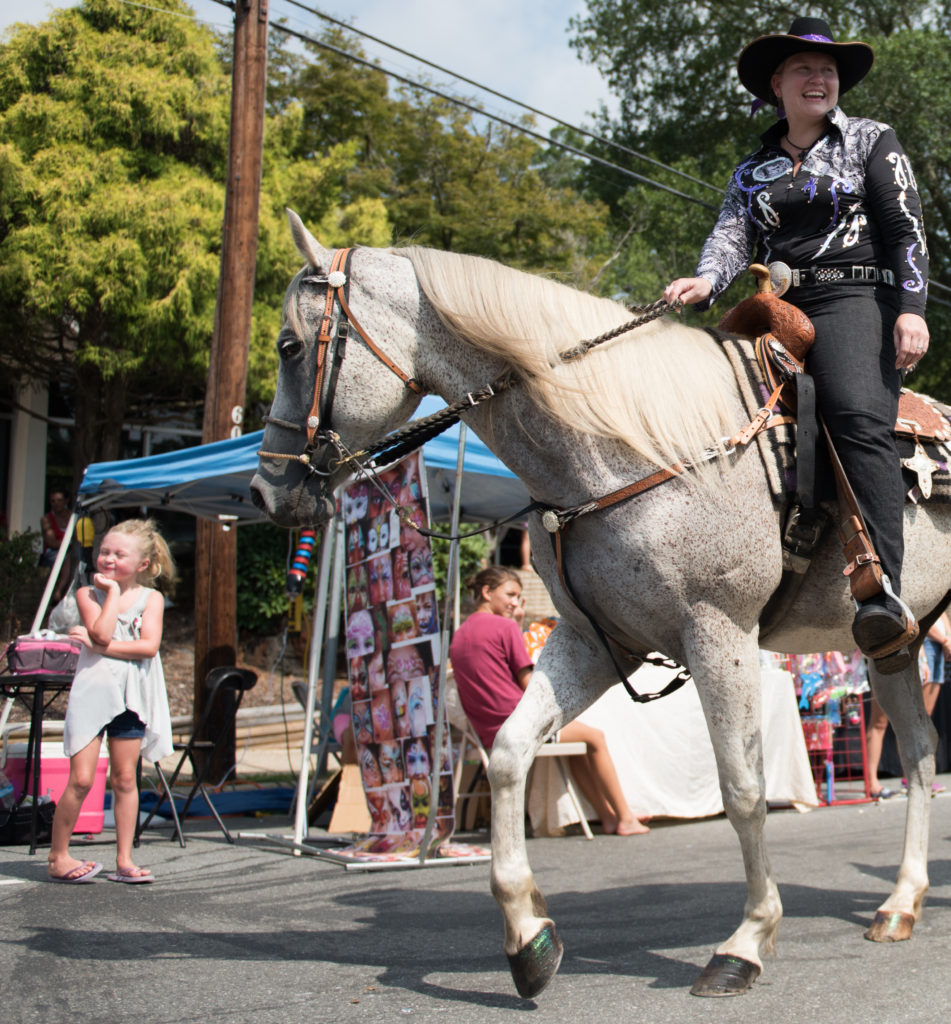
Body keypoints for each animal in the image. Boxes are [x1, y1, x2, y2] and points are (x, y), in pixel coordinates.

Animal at [250, 209, 941, 999]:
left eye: (289, 346)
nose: (265, 490)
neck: (637, 446)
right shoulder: (594, 642)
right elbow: (509, 752)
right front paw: (528, 938)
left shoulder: (719, 633)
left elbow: (741, 787)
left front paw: (745, 940)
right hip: (894, 646)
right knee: (920, 755)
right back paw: (899, 903)